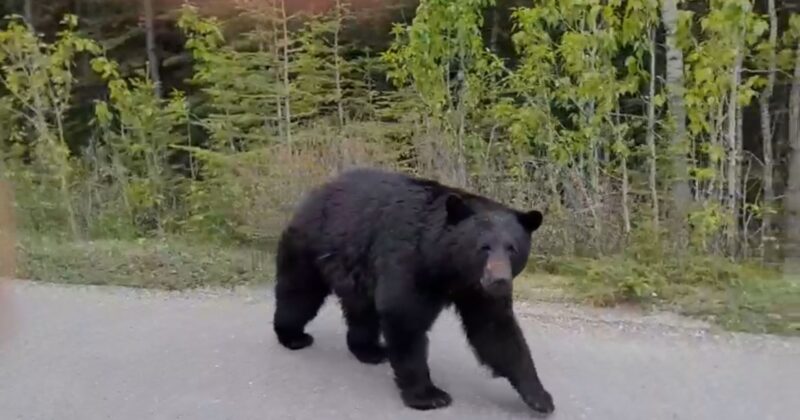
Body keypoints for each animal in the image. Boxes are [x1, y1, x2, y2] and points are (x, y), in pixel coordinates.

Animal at [272, 168, 552, 416]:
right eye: (483, 247)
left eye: (512, 248)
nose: (499, 280)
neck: (447, 265)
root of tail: (313, 194)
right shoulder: (409, 259)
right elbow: (404, 315)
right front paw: (429, 396)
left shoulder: (476, 290)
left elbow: (496, 331)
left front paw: (540, 397)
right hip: (312, 245)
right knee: (300, 292)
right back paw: (293, 336)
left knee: (361, 309)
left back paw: (370, 350)